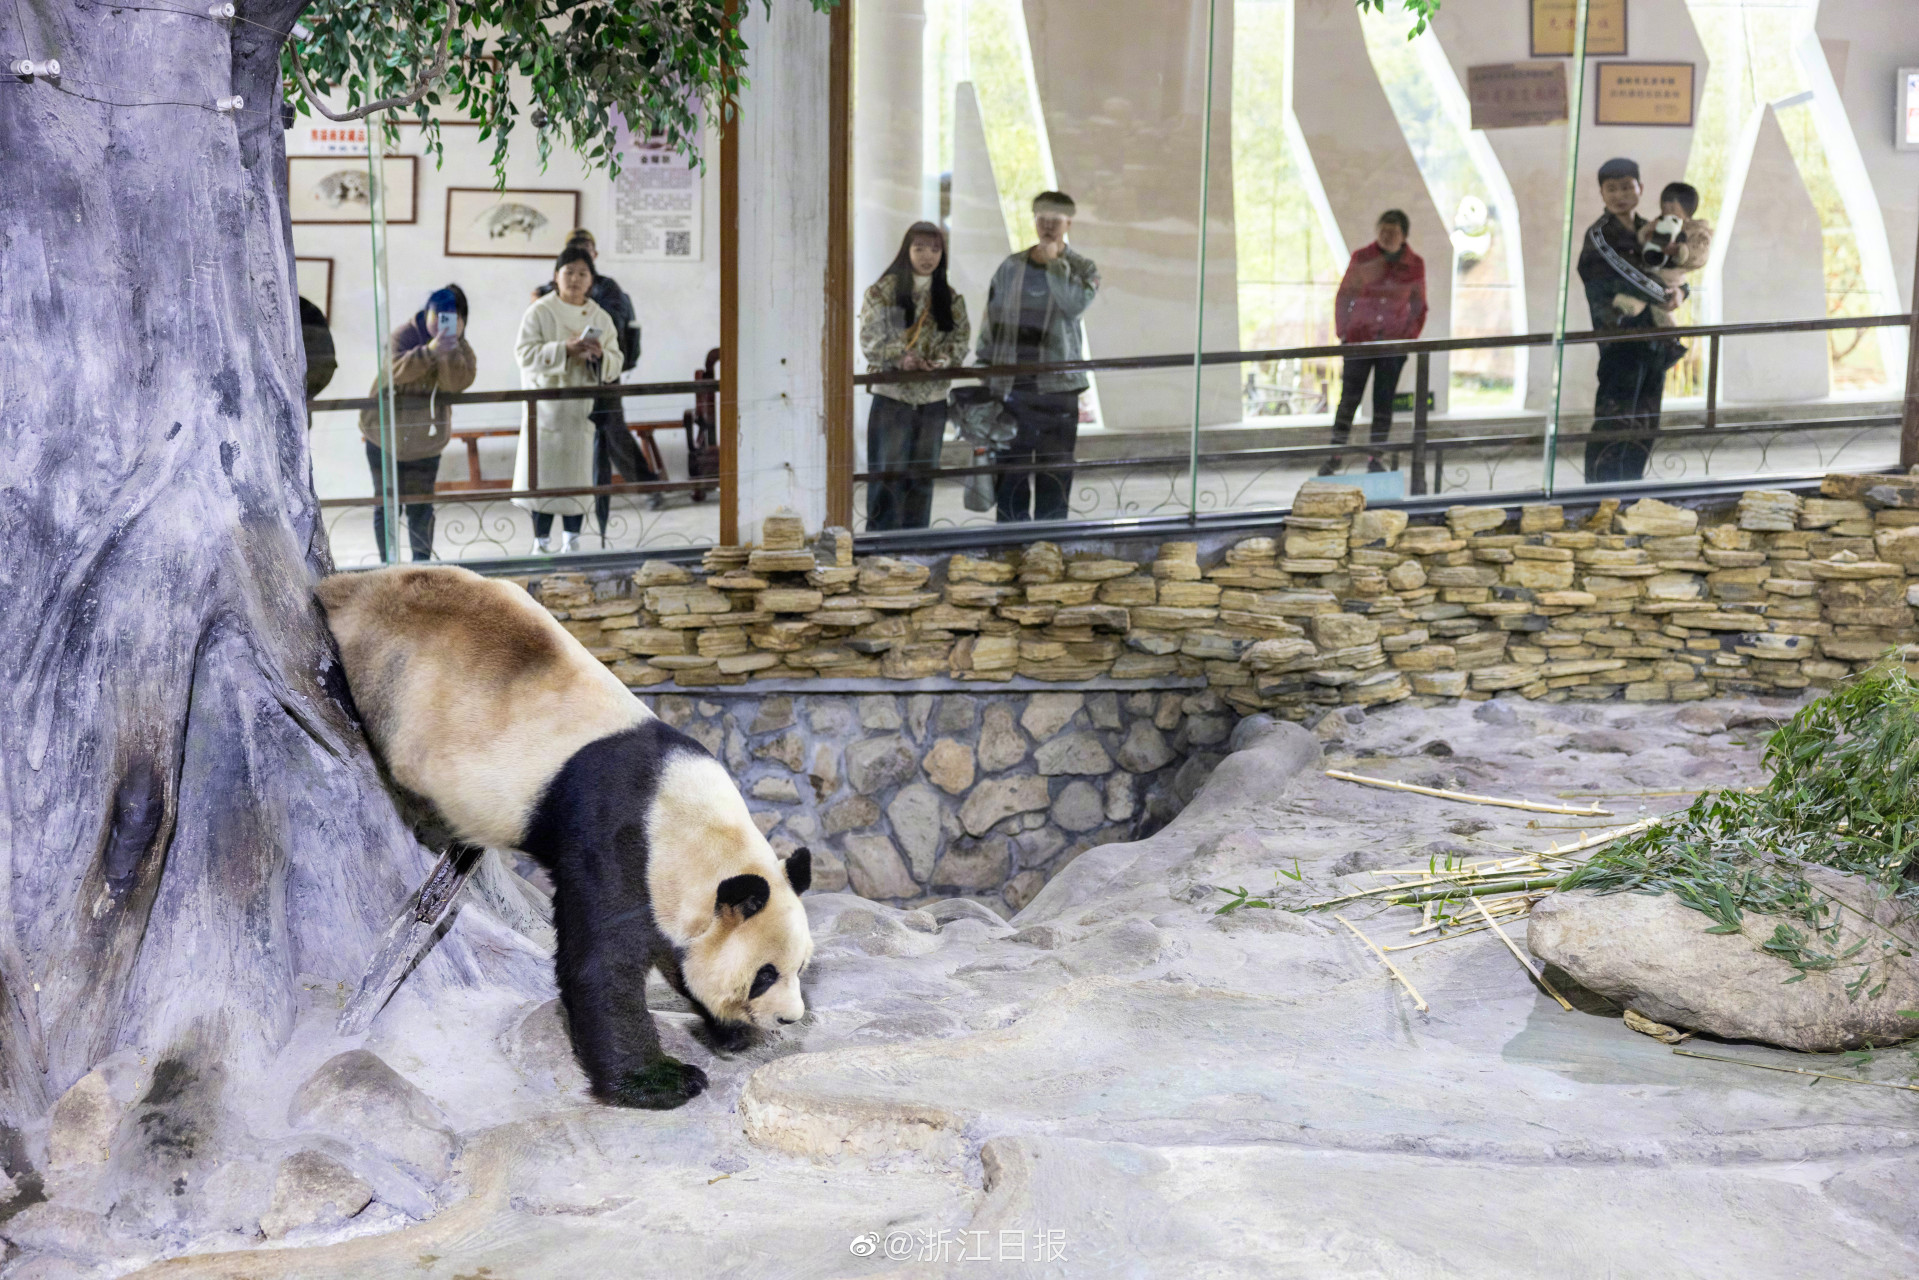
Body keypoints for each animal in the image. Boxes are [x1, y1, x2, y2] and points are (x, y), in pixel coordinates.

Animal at [314, 564, 809, 1105]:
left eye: (801, 967)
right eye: (765, 975)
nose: (791, 1017)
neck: (690, 821)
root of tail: (346, 586)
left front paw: (726, 1029)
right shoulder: (614, 840)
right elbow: (601, 966)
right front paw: (664, 1080)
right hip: (386, 674)